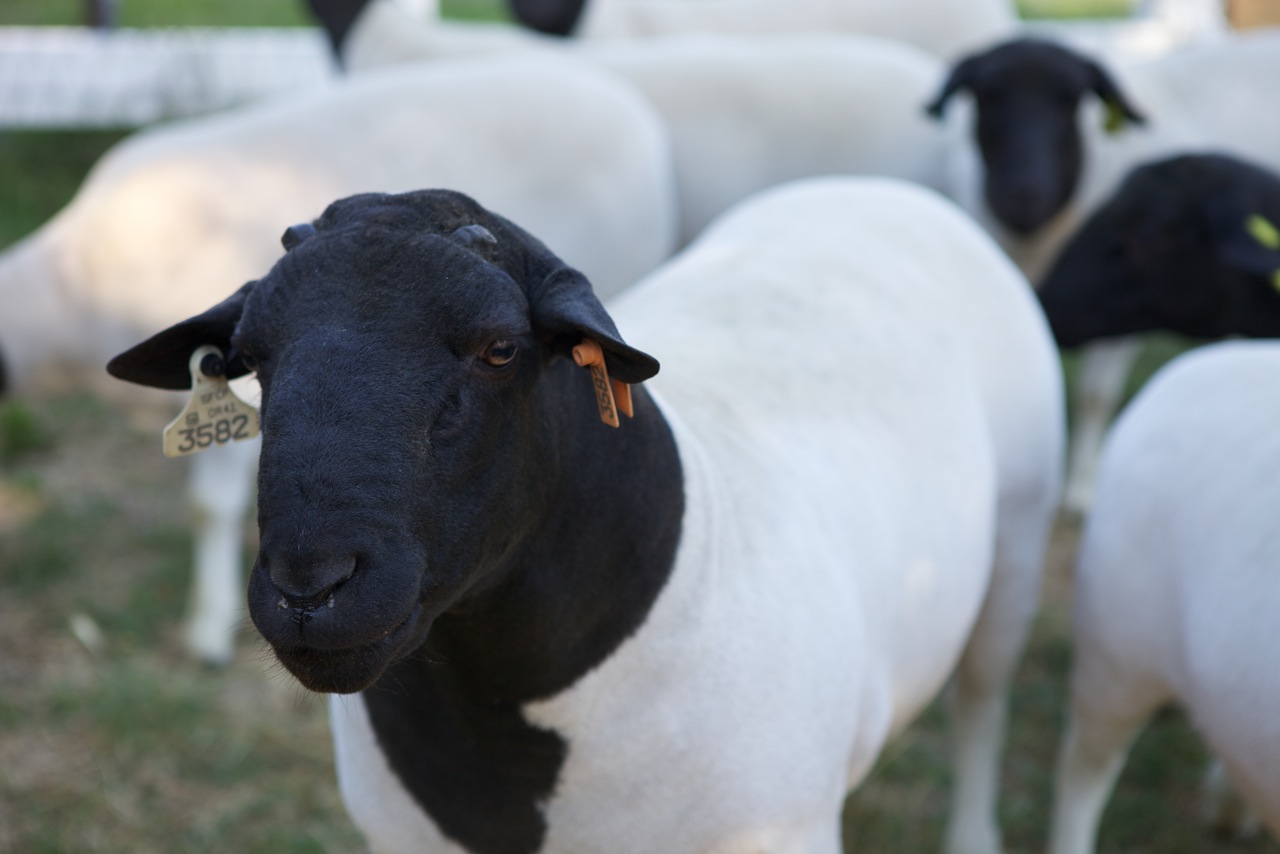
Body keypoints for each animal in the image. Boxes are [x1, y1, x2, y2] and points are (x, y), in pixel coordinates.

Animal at [0, 54, 677, 664]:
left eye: (501, 350)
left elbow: (209, 505)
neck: (72, 286)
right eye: (248, 353)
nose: (307, 591)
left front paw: (207, 629)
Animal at [105, 175, 1063, 854]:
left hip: (1018, 540)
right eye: (250, 357)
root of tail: (882, 187)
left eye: (501, 349)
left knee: (983, 702)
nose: (311, 589)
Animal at [926, 33, 1280, 512]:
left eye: (1070, 98)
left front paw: (1078, 491)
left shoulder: (1122, 311)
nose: (1023, 196)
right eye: (987, 95)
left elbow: (1095, 397)